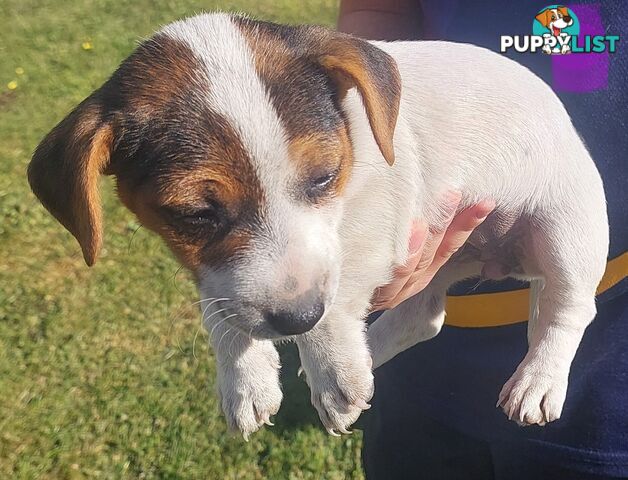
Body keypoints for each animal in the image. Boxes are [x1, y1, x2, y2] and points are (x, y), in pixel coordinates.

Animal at [28, 13, 608, 438]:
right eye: (195, 215)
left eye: (325, 177)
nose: (295, 321)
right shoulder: (213, 269)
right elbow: (223, 304)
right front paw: (244, 376)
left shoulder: (376, 223)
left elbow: (333, 288)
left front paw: (331, 366)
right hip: (448, 256)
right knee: (424, 316)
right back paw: (371, 348)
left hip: (568, 228)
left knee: (569, 310)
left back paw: (537, 381)